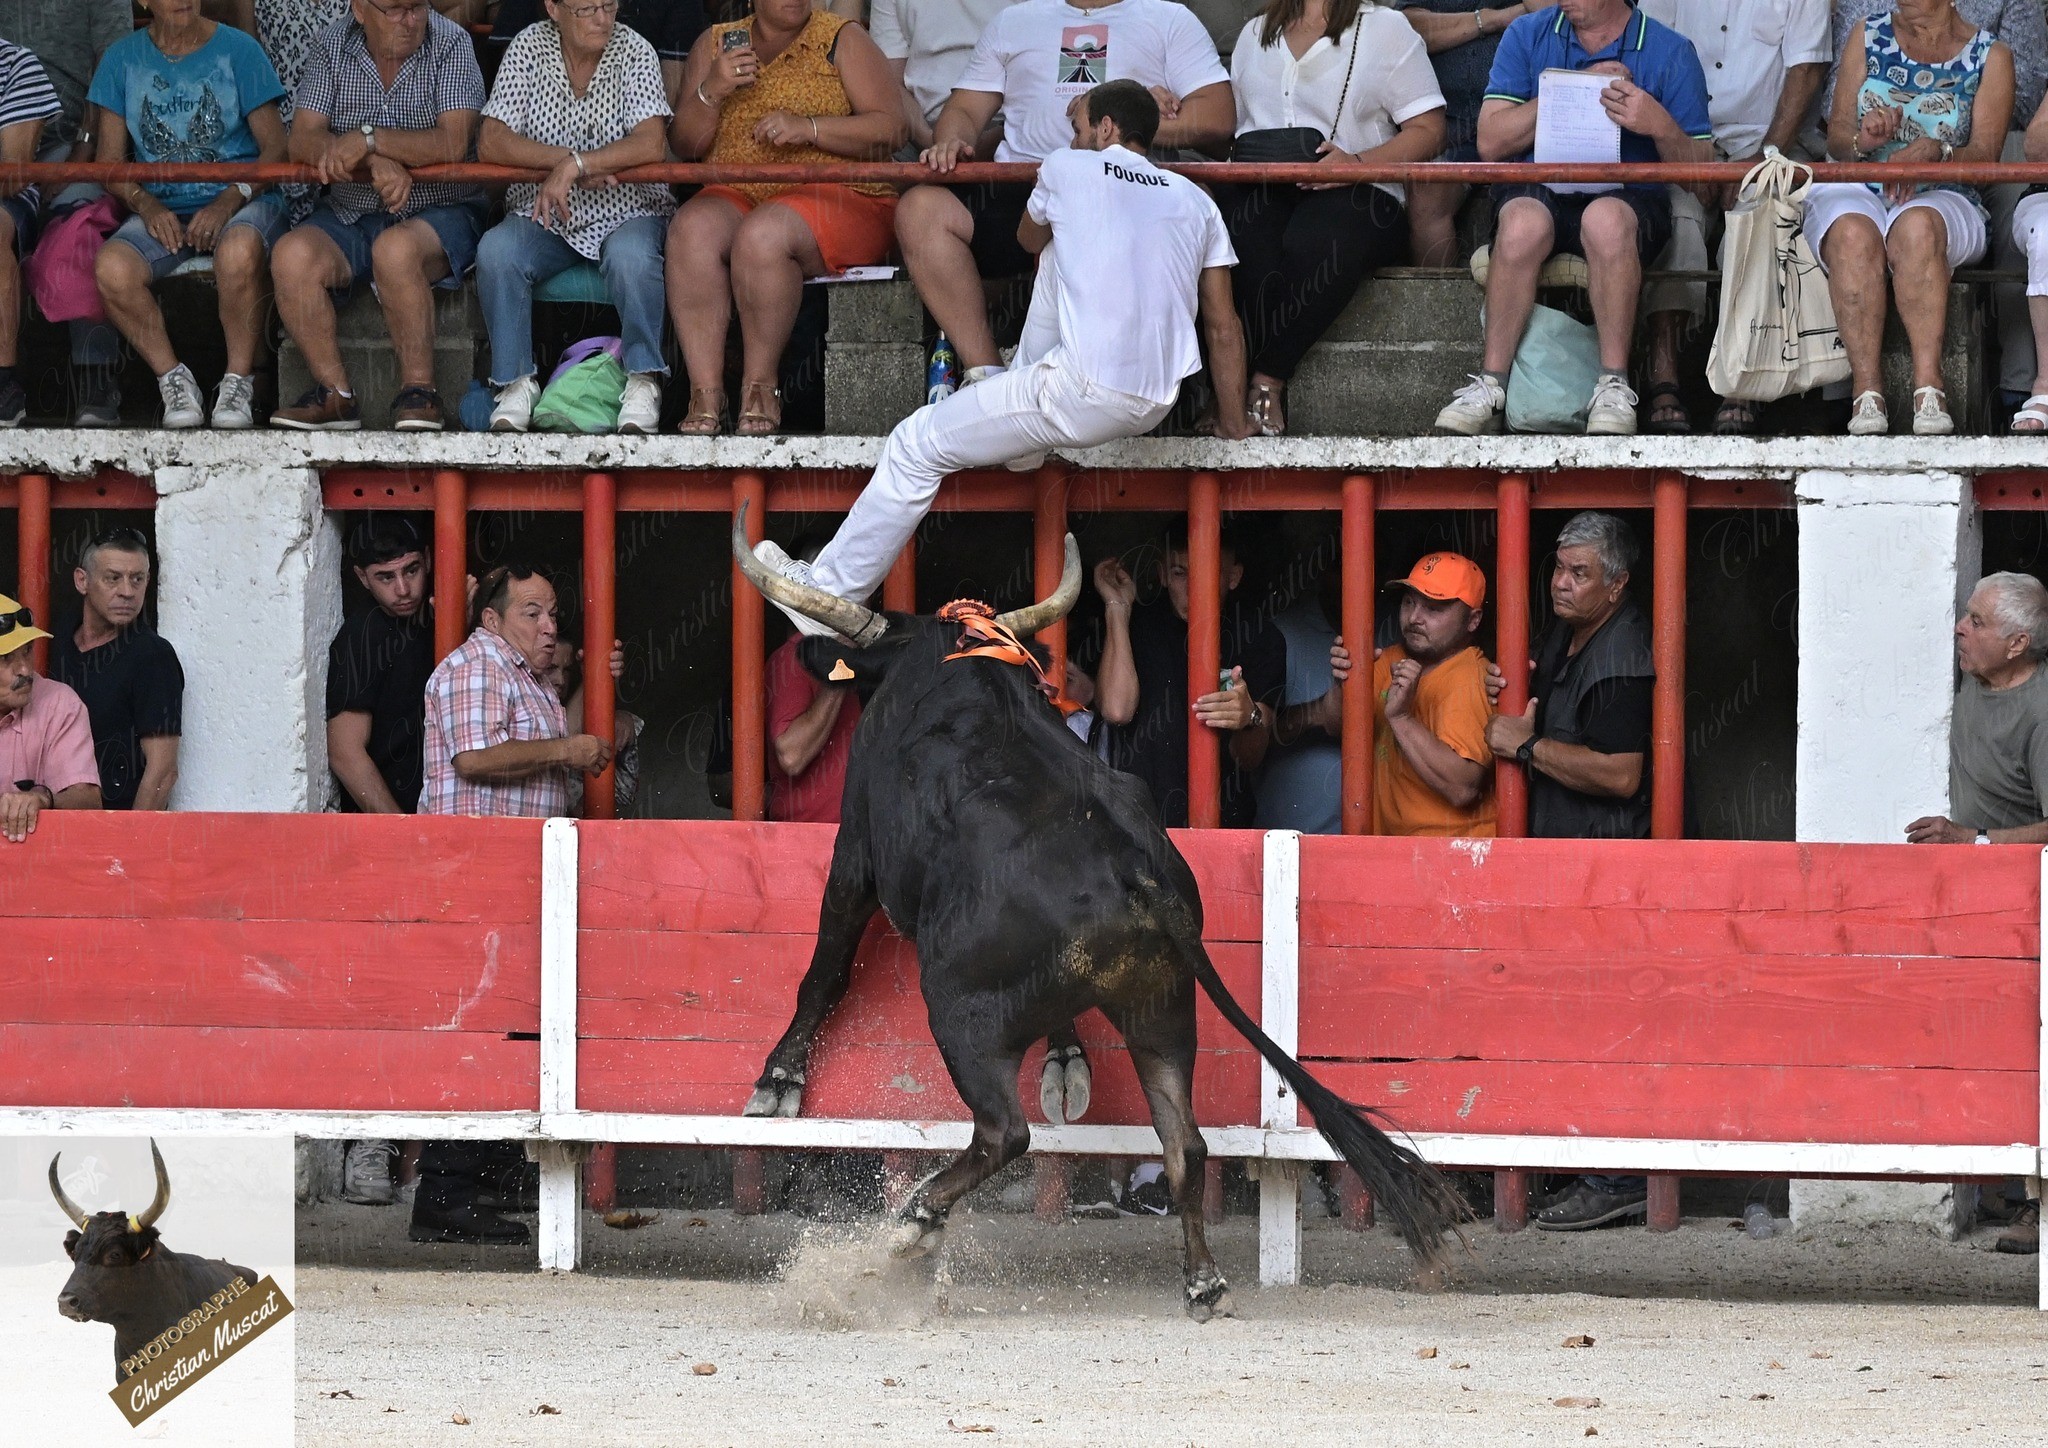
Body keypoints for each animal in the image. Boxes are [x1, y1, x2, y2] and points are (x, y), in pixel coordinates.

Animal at [729, 512, 1466, 1310]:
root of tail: (1134, 870)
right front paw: (1068, 1062)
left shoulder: (855, 854)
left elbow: (825, 966)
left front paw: (777, 1083)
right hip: (1162, 1008)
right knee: (1186, 1141)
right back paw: (1202, 1280)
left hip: (961, 1011)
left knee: (1004, 1132)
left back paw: (914, 1222)